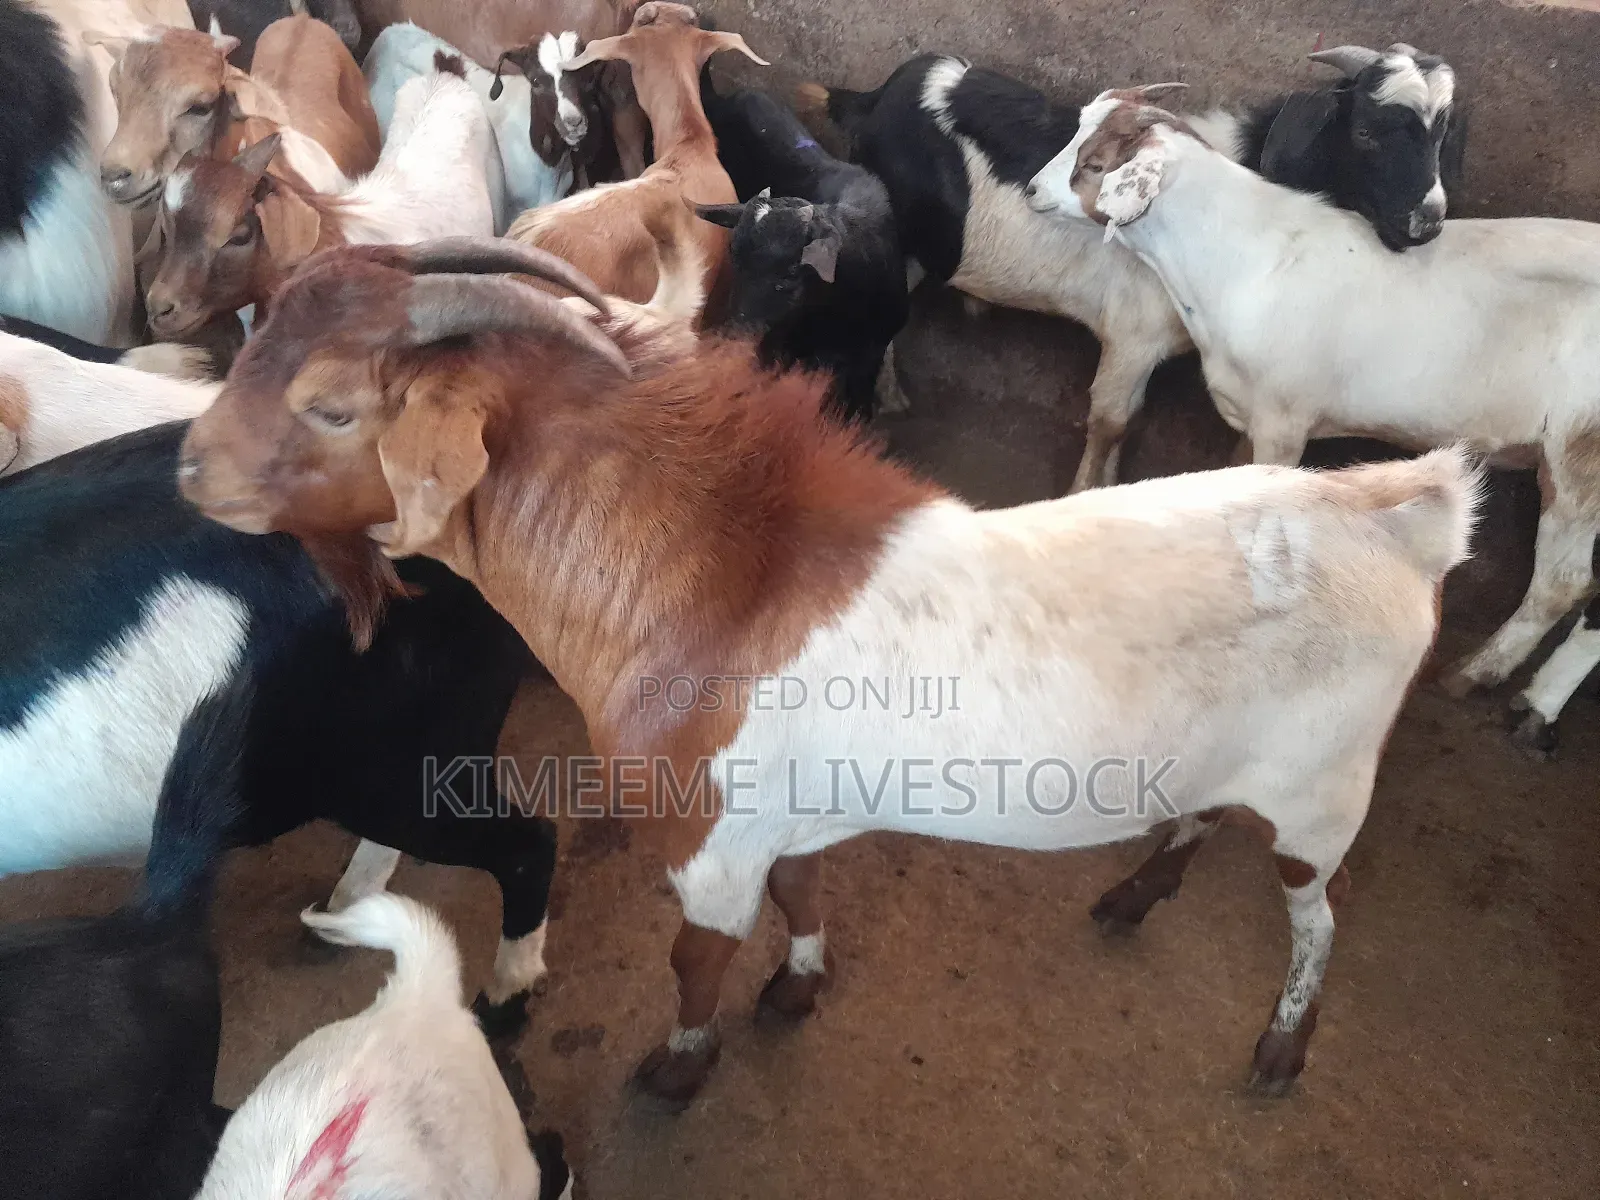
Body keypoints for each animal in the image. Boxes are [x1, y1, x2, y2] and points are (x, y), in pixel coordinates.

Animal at [178, 236, 1481, 1105]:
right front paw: (797, 987)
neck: (718, 582)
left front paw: (676, 1069)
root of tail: (1395, 514)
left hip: (1322, 792)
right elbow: (804, 896)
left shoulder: (707, 838)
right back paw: (1130, 893)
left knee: (1318, 914)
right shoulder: (788, 816)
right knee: (1203, 815)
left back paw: (1281, 1047)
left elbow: (696, 955)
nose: (190, 465)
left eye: (332, 407)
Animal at [812, 44, 1465, 492]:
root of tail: (874, 96)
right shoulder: (1132, 334)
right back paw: (889, 393)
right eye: (1367, 131)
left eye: (1441, 132)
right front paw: (1086, 491)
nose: (1428, 221)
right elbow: (1112, 421)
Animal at [1027, 87, 1598, 707]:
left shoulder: (1285, 416)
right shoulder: (1254, 413)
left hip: (1580, 456)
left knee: (1561, 584)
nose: (1031, 189)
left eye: (1094, 165)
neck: (1239, 259)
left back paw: (1478, 674)